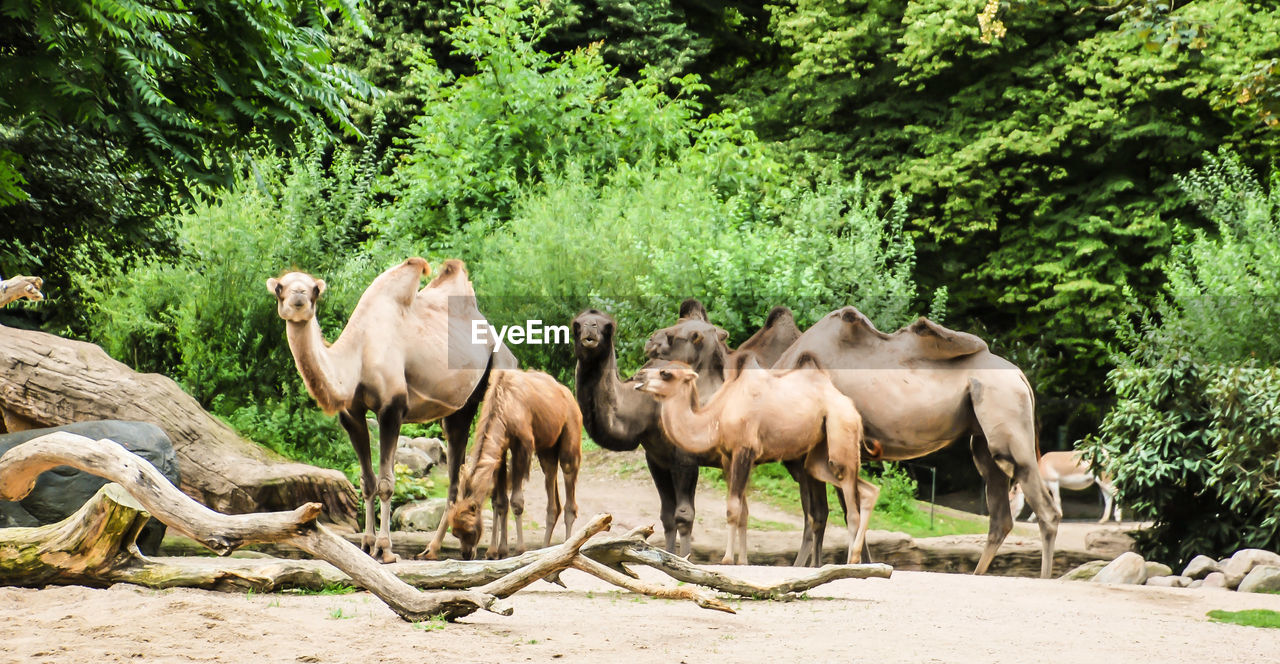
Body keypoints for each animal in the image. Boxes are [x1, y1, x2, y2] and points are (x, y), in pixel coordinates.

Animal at [266, 257, 514, 562]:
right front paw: (366, 545)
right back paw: (435, 550)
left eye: (315, 290)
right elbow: (366, 482)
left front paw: (385, 549)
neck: (357, 356)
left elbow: (385, 483)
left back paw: (494, 551)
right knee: (458, 472)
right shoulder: (352, 415)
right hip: (457, 410)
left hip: (498, 374)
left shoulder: (391, 409)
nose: (299, 298)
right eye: (280, 288)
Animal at [442, 368, 578, 560]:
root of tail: (568, 395)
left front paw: (520, 550)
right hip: (547, 449)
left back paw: (568, 548)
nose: (467, 554)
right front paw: (496, 551)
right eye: (455, 533)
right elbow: (499, 502)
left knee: (568, 483)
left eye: (470, 530)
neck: (504, 406)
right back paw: (545, 549)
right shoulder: (501, 448)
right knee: (552, 489)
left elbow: (516, 502)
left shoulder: (522, 445)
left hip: (570, 435)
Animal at [632, 358, 880, 565]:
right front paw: (742, 561)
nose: (637, 375)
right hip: (817, 456)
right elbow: (743, 512)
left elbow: (733, 508)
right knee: (865, 489)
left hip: (841, 431)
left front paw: (727, 560)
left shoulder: (745, 450)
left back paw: (852, 560)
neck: (717, 418)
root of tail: (852, 408)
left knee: (850, 502)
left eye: (665, 373)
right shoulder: (728, 458)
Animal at [768, 309, 1059, 578]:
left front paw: (808, 566)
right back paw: (977, 574)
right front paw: (860, 565)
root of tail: (1021, 377)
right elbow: (840, 511)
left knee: (1045, 509)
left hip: (1006, 410)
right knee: (1000, 515)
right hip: (984, 438)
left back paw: (1044, 578)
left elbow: (818, 516)